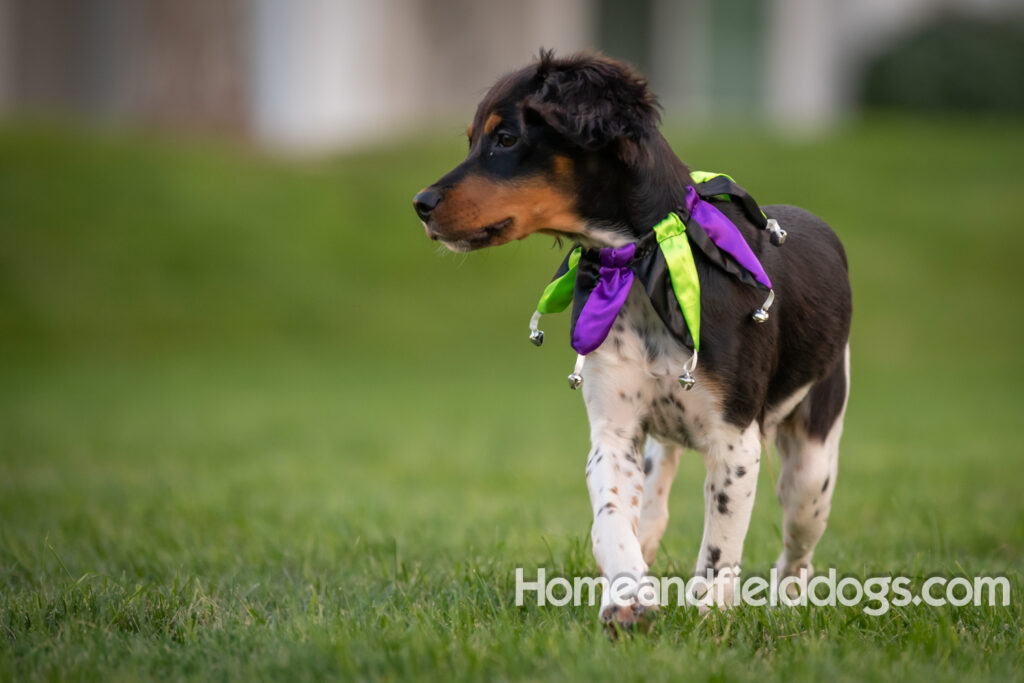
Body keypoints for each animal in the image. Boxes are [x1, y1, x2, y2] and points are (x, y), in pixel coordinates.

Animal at [411, 52, 851, 630]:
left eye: (505, 139)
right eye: (471, 140)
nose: (420, 203)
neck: (641, 266)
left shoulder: (735, 439)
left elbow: (720, 546)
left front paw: (710, 615)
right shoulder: (614, 430)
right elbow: (611, 520)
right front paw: (627, 596)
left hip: (812, 467)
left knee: (798, 547)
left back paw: (790, 599)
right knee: (656, 507)